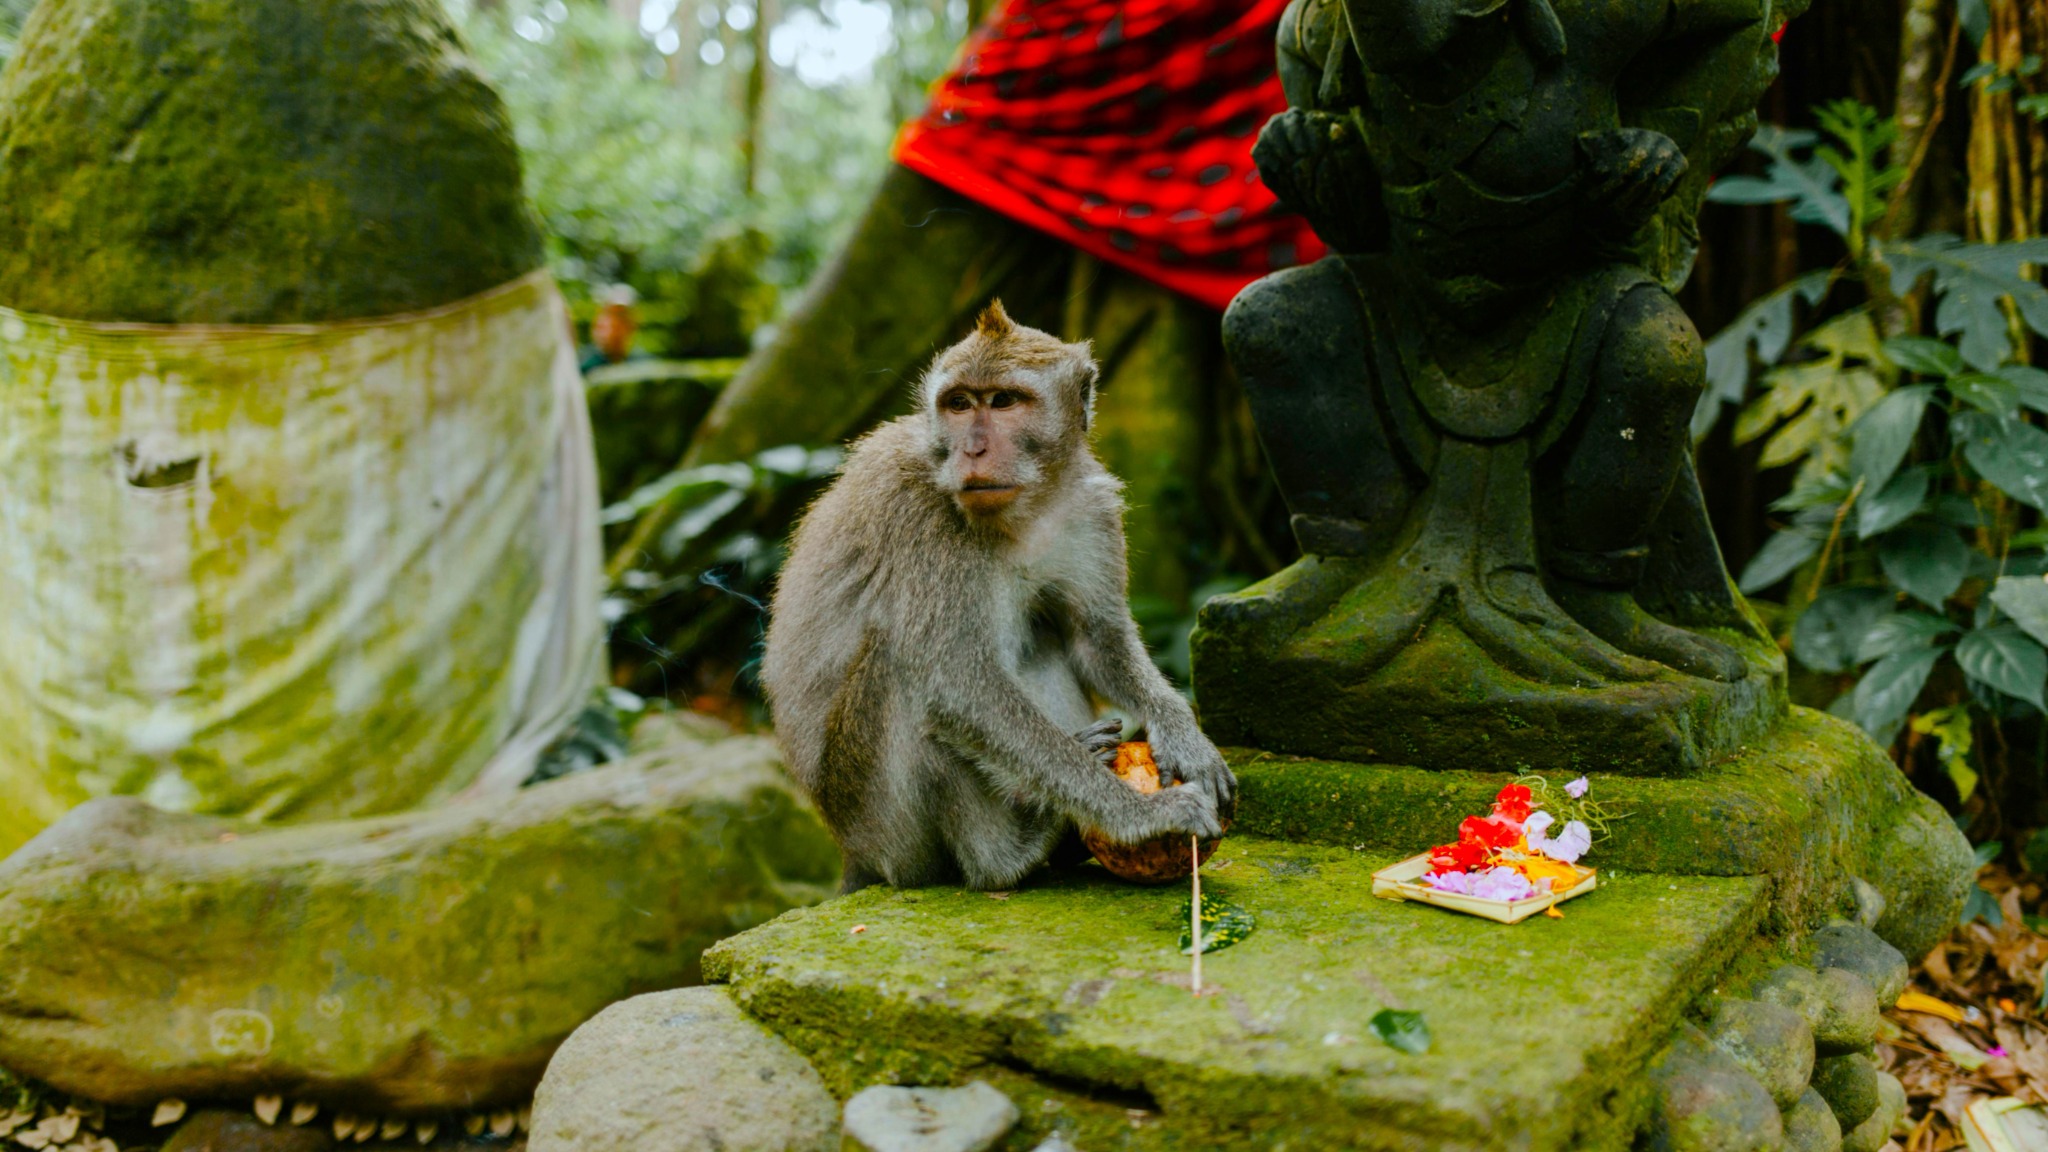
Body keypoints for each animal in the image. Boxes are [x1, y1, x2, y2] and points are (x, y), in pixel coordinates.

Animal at [761, 301, 1235, 892]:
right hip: (878, 821)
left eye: (1005, 401)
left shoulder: (1092, 507)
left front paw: (1185, 736)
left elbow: (1095, 637)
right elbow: (956, 684)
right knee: (901, 665)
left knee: (1041, 636)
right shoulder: (924, 519)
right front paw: (1142, 816)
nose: (972, 449)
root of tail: (852, 850)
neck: (1027, 508)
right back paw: (1011, 853)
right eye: (959, 404)